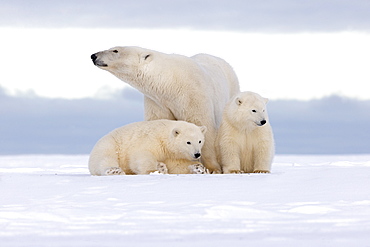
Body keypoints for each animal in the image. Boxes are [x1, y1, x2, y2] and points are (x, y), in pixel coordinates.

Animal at [92, 46, 240, 174]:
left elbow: (202, 125)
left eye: (115, 50)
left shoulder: (194, 95)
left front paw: (212, 168)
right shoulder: (158, 101)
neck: (171, 82)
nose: (93, 56)